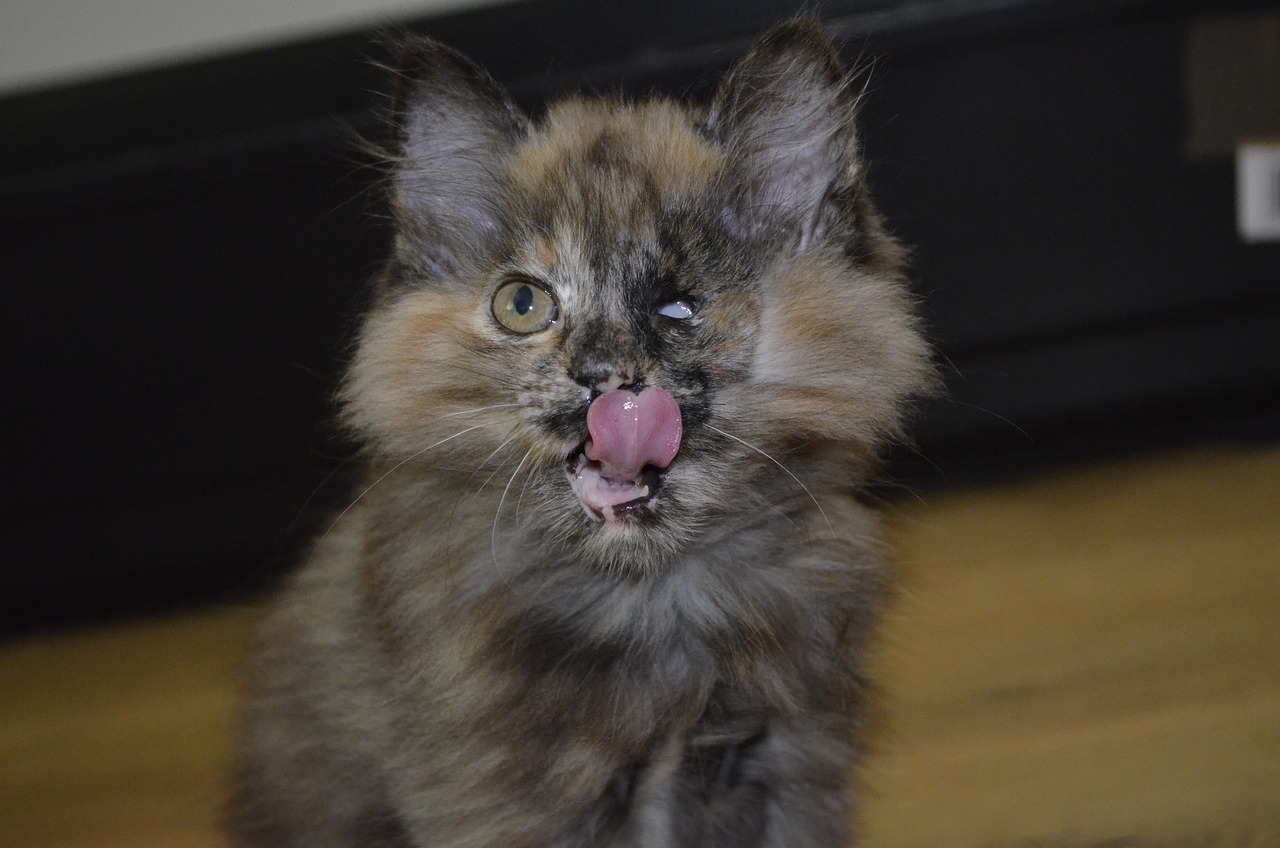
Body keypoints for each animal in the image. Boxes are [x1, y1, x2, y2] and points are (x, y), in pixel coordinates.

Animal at [230, 19, 931, 848]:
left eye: (678, 307)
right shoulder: (499, 795)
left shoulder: (794, 758)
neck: (656, 597)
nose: (600, 375)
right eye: (523, 305)